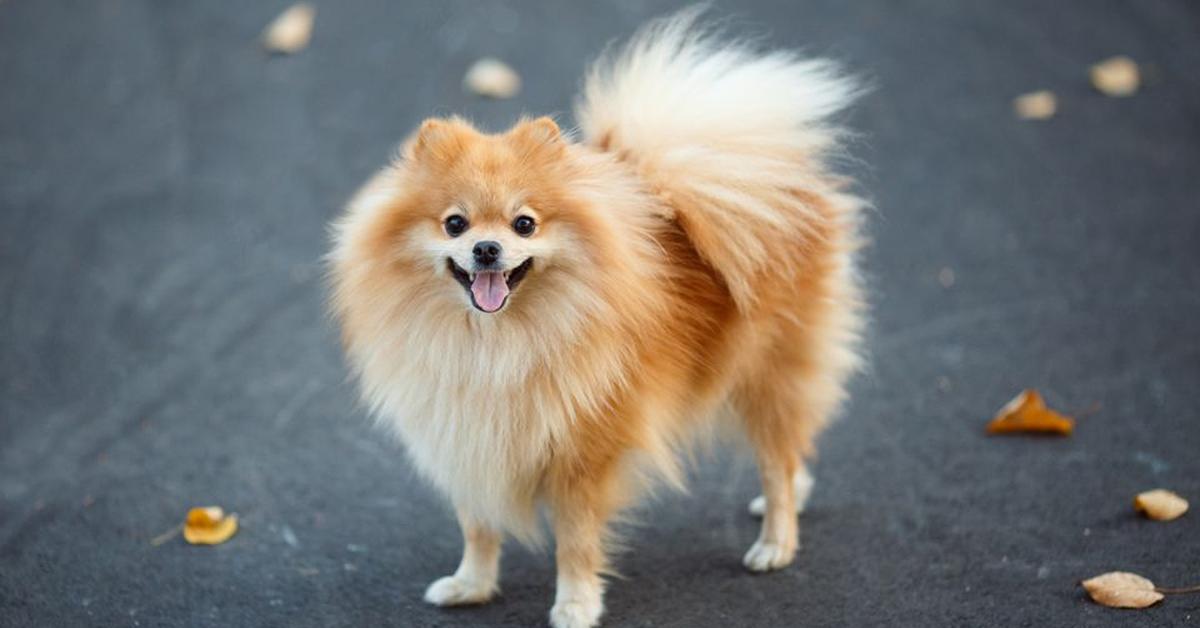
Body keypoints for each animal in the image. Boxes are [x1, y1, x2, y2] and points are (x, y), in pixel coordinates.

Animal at [333, 9, 868, 628]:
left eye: (523, 224)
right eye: (454, 224)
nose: (487, 249)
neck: (494, 344)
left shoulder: (582, 455)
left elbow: (575, 542)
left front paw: (575, 604)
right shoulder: (469, 439)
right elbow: (478, 526)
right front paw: (472, 584)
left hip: (767, 372)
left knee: (777, 458)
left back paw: (776, 541)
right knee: (792, 450)